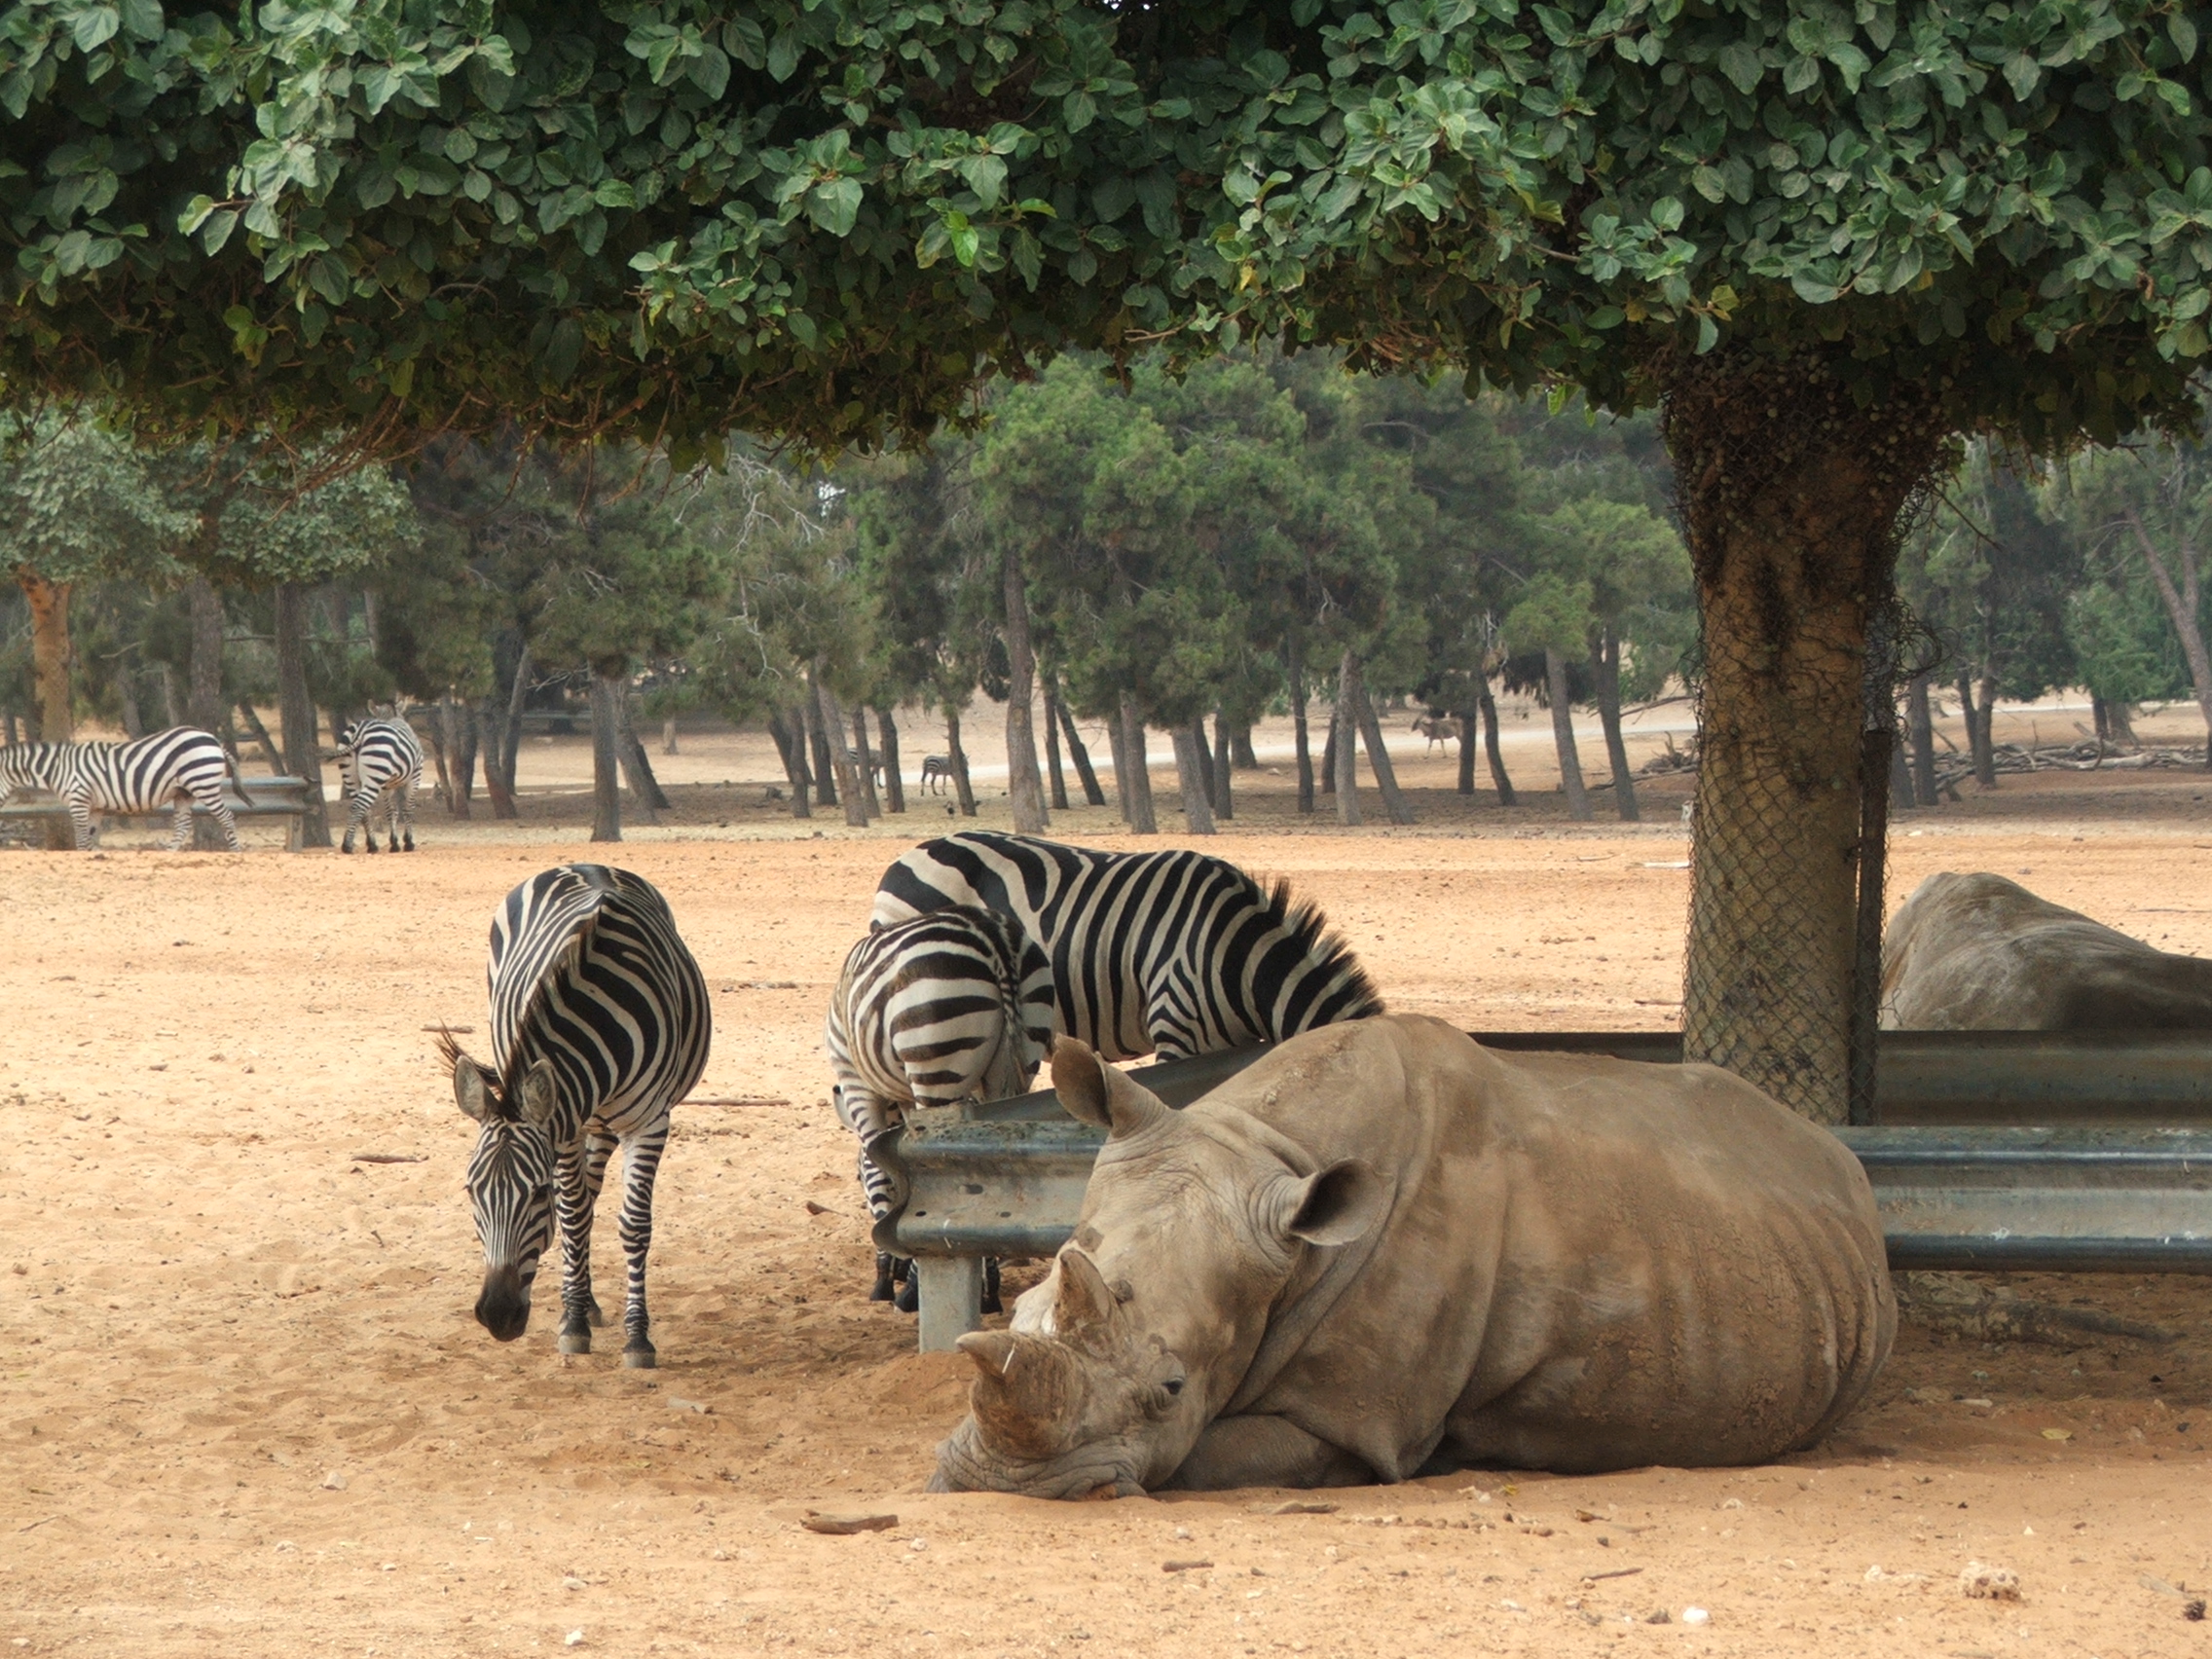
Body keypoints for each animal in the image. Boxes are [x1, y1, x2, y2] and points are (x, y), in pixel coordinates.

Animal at [0, 729, 241, 858]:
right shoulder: (94, 805)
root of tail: (213, 739)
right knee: (183, 825)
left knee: (227, 816)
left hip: (203, 782)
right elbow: (89, 836)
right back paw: (168, 853)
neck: (59, 767)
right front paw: (94, 855)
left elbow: (80, 837)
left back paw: (236, 851)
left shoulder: (79, 798)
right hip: (183, 792)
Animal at [334, 712, 420, 858]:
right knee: (358, 806)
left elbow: (392, 811)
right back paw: (347, 845)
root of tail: (360, 730)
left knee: (364, 809)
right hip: (374, 776)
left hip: (350, 776)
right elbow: (408, 809)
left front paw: (394, 843)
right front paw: (408, 842)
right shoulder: (415, 777)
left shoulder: (387, 786)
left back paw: (372, 845)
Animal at [433, 863, 703, 1371]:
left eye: (536, 1192)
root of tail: (586, 865)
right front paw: (573, 1322)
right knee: (581, 1204)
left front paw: (637, 1337)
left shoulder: (649, 1121)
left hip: (599, 1121)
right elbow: (572, 1216)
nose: (497, 1316)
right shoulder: (561, 1128)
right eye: (471, 1191)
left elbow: (633, 1225)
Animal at [827, 911, 1057, 1309]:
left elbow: (886, 1171)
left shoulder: (856, 1082)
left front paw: (889, 1278)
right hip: (1022, 1057)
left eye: (855, 1178)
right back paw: (986, 1287)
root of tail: (994, 935)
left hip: (935, 1061)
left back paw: (915, 1291)